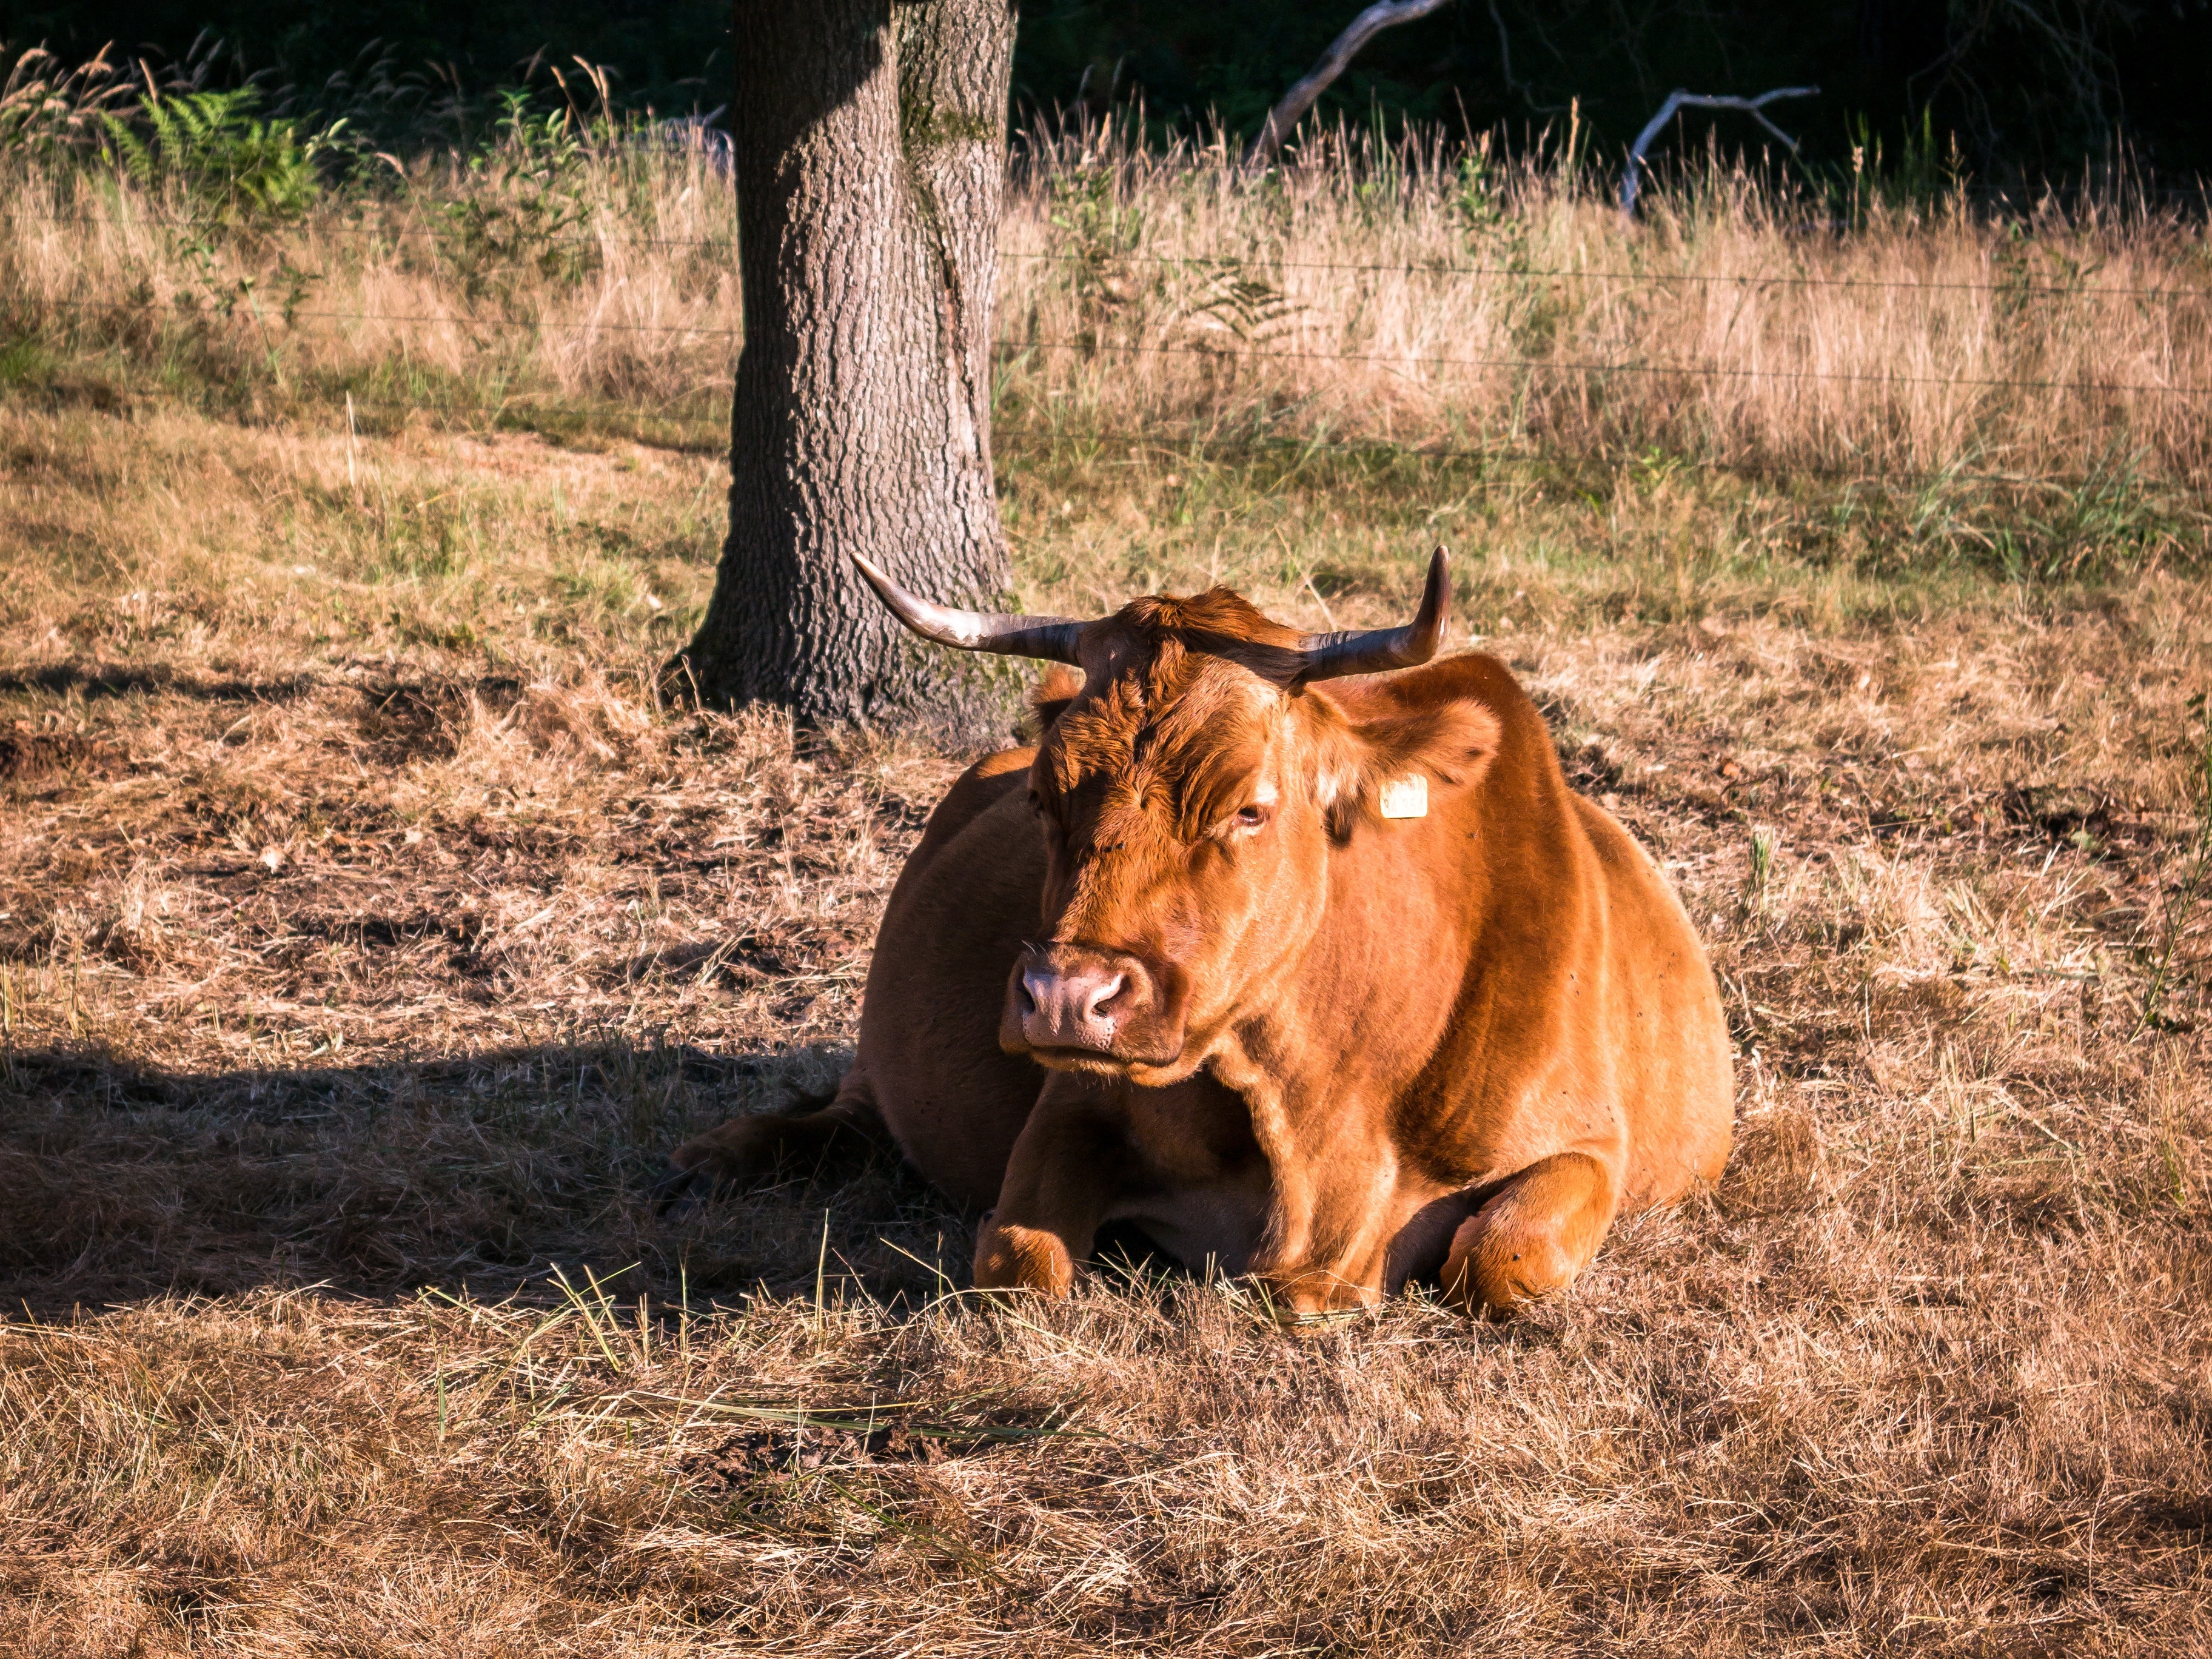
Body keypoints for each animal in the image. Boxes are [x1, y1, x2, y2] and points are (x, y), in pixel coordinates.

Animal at [663, 553, 1734, 1318]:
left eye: (1250, 808)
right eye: (1047, 798)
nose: (1065, 998)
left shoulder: (1589, 1149)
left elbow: (1497, 1262)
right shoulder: (1073, 1101)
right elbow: (1019, 1264)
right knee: (847, 1109)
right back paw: (723, 1150)